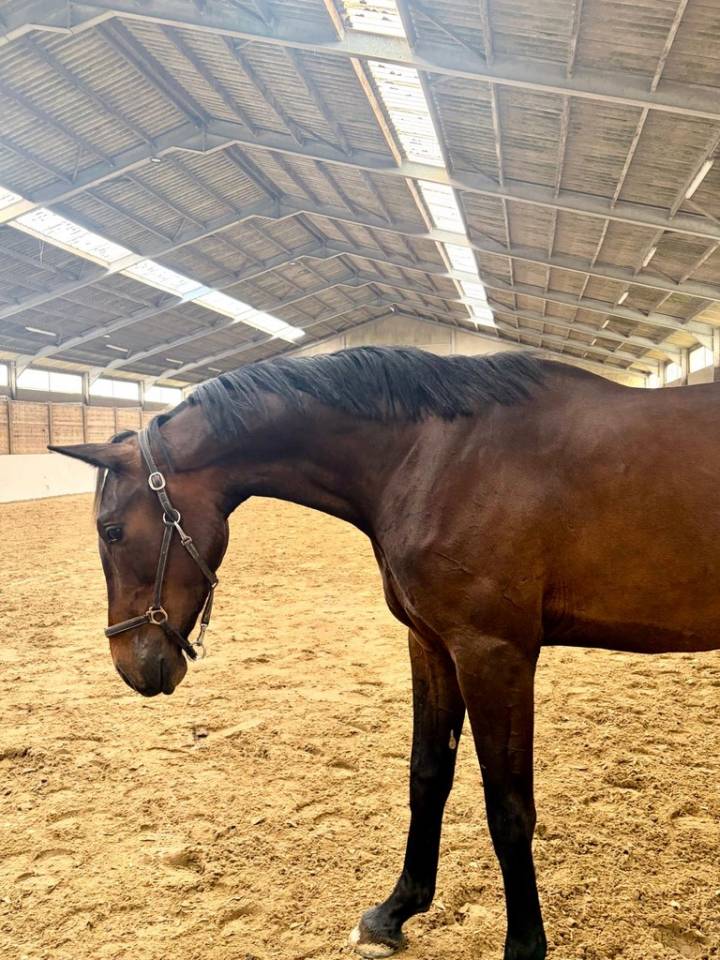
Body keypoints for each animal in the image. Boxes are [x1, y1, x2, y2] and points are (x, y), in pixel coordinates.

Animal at [50, 346, 720, 960]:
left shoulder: (493, 654)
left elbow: (508, 809)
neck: (433, 456)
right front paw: (396, 911)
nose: (132, 666)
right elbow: (427, 775)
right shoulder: (433, 645)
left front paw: (524, 946)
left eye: (112, 530)